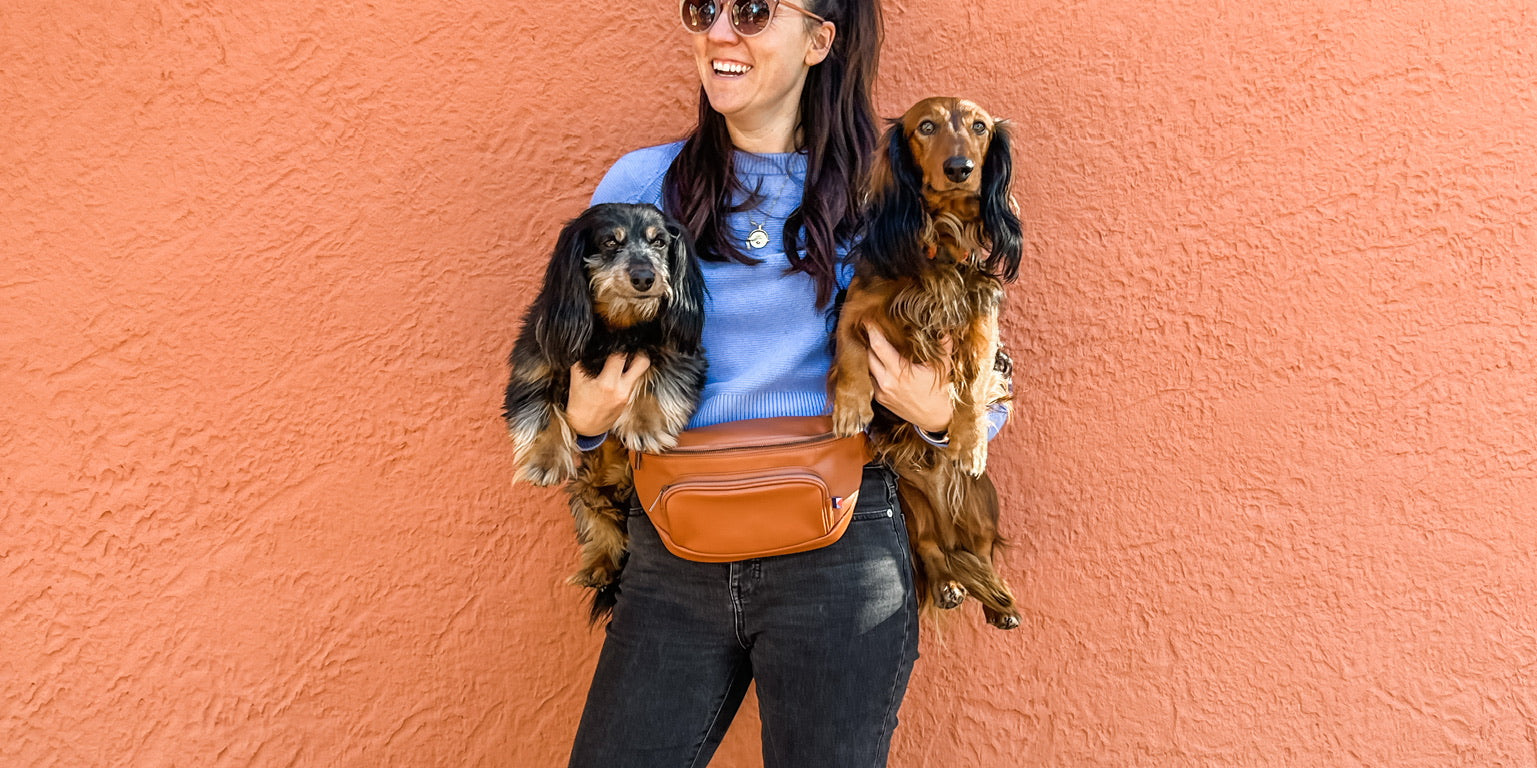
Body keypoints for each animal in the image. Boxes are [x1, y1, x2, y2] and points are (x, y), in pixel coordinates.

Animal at [504, 201, 707, 620]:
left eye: (659, 242)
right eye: (610, 243)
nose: (645, 277)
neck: (620, 323)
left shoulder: (681, 352)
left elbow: (658, 376)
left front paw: (645, 427)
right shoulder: (535, 360)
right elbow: (541, 410)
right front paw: (543, 461)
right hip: (585, 491)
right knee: (601, 529)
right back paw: (597, 567)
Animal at [836, 96, 1026, 626]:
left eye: (980, 127)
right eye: (925, 127)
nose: (959, 168)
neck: (941, 233)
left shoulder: (981, 315)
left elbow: (976, 378)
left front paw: (969, 440)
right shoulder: (858, 305)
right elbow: (851, 352)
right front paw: (851, 408)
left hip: (983, 504)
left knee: (980, 553)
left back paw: (1000, 603)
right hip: (911, 504)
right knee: (931, 549)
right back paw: (947, 586)